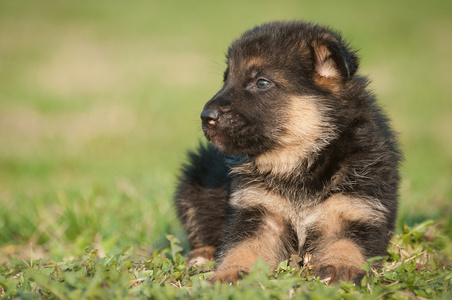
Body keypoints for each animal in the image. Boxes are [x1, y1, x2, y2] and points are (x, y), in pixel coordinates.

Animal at [175, 21, 400, 286]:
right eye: (226, 79)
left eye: (262, 83)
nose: (206, 116)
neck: (301, 160)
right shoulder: (259, 213)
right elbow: (243, 247)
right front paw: (229, 272)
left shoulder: (356, 209)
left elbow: (346, 243)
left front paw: (340, 266)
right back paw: (201, 256)